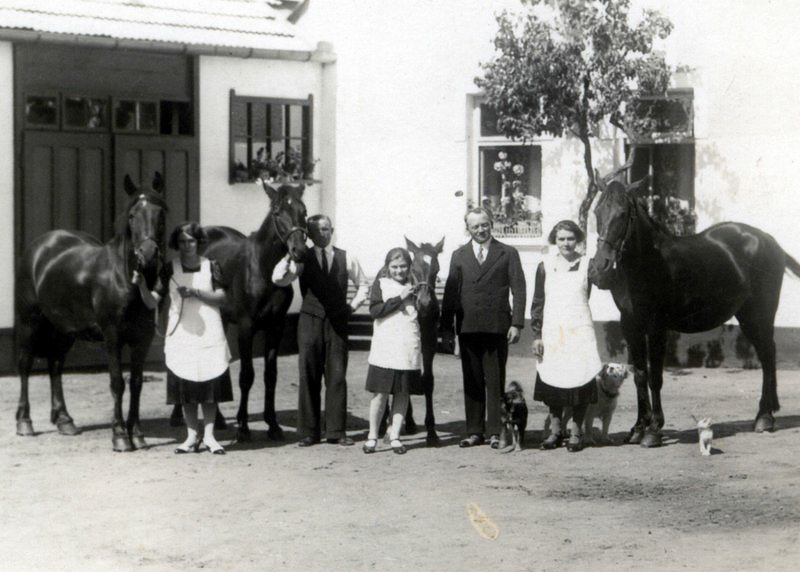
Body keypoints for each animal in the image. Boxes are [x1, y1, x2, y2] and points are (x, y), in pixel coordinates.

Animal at [15, 173, 167, 452]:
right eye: (132, 216)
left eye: (161, 213)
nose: (148, 255)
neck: (125, 279)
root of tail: (40, 246)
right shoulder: (112, 337)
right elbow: (117, 382)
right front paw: (120, 436)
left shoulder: (143, 339)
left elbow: (137, 384)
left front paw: (137, 435)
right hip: (29, 321)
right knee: (25, 365)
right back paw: (24, 422)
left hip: (64, 329)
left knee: (55, 365)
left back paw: (65, 421)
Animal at [202, 181, 308, 440]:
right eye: (277, 213)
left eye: (304, 211)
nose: (299, 251)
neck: (263, 267)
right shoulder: (246, 327)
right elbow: (246, 375)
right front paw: (243, 427)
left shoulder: (276, 326)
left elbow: (270, 375)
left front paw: (273, 425)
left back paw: (219, 420)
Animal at [588, 179, 800, 446]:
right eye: (597, 212)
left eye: (623, 214)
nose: (600, 268)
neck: (646, 262)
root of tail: (770, 241)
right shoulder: (630, 325)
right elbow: (640, 376)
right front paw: (637, 428)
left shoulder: (657, 327)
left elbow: (655, 377)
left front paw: (653, 430)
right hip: (747, 316)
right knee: (767, 355)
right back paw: (768, 411)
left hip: (759, 314)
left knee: (768, 356)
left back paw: (764, 417)